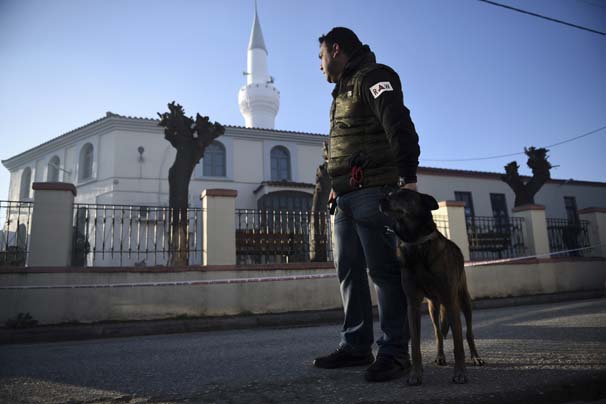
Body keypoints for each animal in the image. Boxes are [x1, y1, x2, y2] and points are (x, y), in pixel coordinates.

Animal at [380, 189, 484, 386]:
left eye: (403, 194)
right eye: (390, 193)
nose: (380, 200)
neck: (416, 242)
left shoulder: (451, 302)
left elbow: (458, 344)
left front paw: (460, 373)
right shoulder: (412, 305)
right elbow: (415, 346)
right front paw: (415, 374)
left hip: (463, 301)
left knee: (468, 332)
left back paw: (475, 357)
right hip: (433, 307)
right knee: (438, 333)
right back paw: (440, 356)